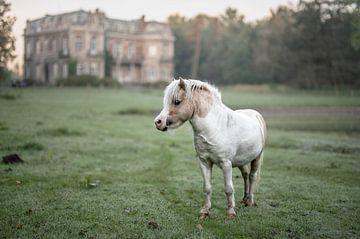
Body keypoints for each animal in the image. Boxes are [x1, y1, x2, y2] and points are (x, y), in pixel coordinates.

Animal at [153, 78, 266, 218]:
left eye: (177, 101)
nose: (158, 122)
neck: (215, 127)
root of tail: (256, 114)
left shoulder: (226, 164)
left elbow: (228, 189)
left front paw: (231, 212)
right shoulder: (204, 162)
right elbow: (207, 188)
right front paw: (205, 211)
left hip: (257, 157)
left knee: (251, 177)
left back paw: (250, 201)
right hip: (242, 161)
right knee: (245, 175)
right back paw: (244, 200)